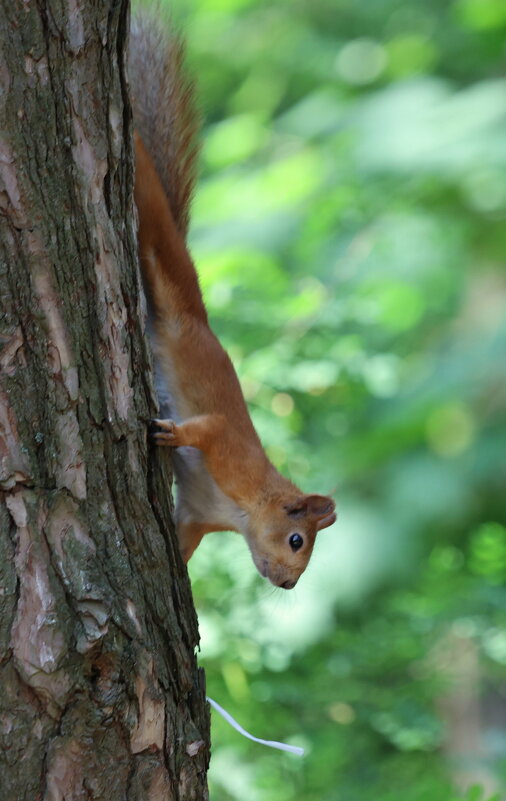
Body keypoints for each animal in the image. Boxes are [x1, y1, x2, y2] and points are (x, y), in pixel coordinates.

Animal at [130, 7, 336, 588]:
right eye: (297, 540)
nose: (288, 583)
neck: (243, 510)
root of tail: (197, 317)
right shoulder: (230, 452)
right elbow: (207, 427)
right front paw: (171, 433)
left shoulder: (195, 516)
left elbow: (181, 546)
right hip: (165, 257)